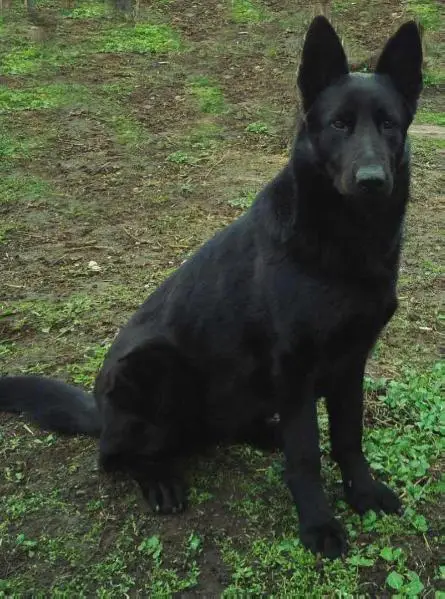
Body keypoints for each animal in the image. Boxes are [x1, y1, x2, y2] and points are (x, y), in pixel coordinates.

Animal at [0, 16, 423, 558]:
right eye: (339, 125)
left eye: (388, 124)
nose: (371, 180)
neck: (345, 242)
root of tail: (99, 409)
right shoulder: (294, 368)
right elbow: (306, 455)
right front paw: (318, 524)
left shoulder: (351, 361)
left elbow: (349, 437)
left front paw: (363, 492)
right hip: (153, 366)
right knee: (113, 456)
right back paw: (158, 477)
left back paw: (265, 434)